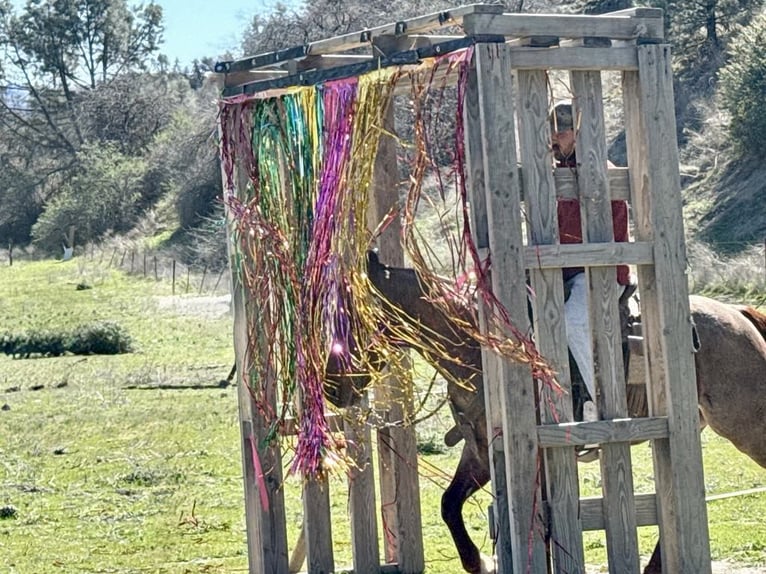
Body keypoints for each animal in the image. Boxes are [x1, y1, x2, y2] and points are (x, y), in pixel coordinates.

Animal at [328, 253, 766, 574]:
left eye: (348, 316)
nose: (333, 388)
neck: (475, 342)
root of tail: (739, 314)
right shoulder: (481, 451)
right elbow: (450, 505)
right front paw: (480, 561)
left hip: (748, 428)